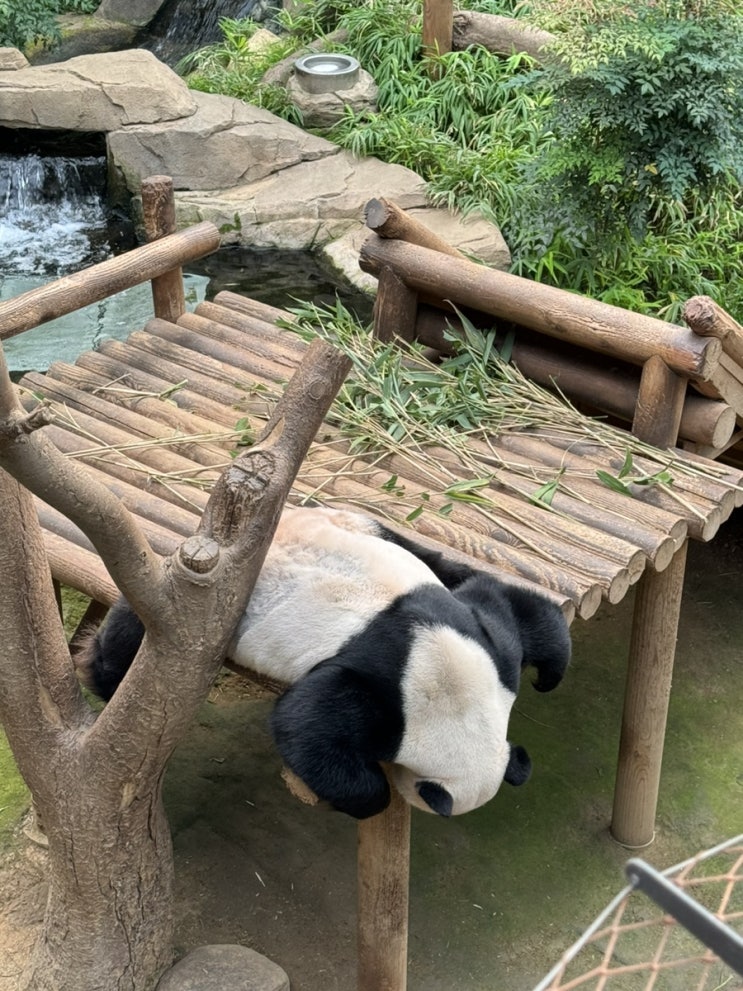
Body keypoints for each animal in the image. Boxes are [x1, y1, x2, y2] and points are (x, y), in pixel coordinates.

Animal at [76, 505, 571, 820]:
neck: (458, 700)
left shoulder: (478, 640)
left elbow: (504, 605)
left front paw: (548, 675)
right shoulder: (389, 696)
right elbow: (306, 724)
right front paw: (364, 799)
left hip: (362, 524)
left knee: (434, 561)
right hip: (209, 599)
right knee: (139, 631)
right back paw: (101, 673)